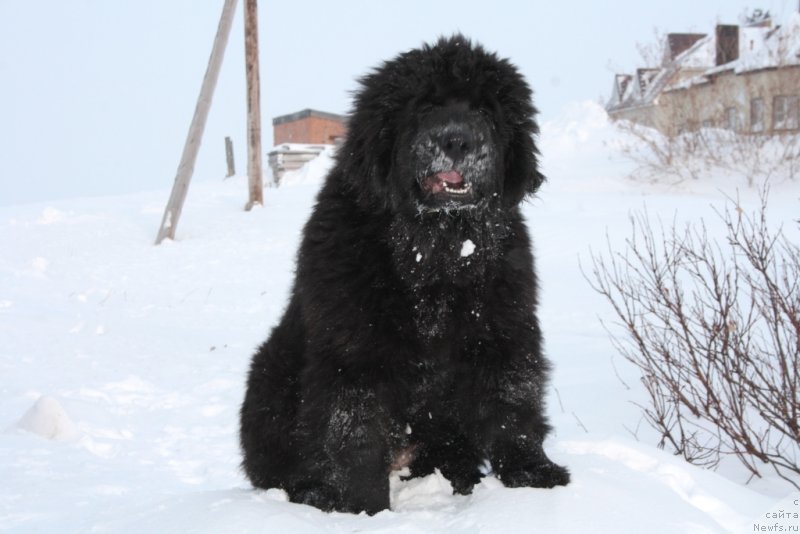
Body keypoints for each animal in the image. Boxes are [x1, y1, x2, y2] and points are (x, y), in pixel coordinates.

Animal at [238, 33, 568, 516]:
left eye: (486, 111)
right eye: (425, 107)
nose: (457, 141)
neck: (434, 252)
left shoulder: (503, 329)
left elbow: (513, 402)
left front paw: (534, 476)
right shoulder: (354, 352)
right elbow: (356, 431)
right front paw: (365, 510)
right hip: (268, 372)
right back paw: (313, 493)